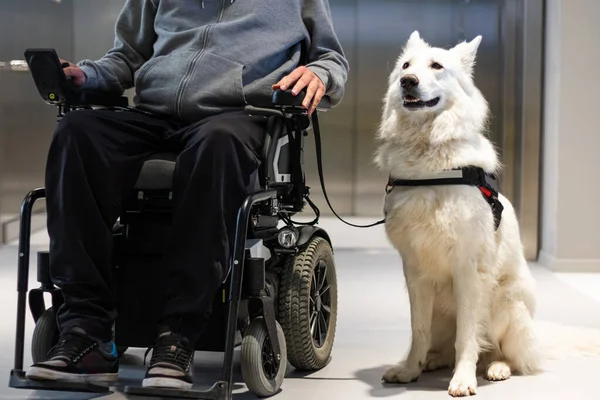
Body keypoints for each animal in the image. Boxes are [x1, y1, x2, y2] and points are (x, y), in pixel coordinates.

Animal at [376, 32, 600, 396]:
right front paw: (410, 370)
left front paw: (463, 379)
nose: (407, 81)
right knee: (441, 344)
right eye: (406, 66)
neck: (430, 165)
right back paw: (432, 361)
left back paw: (496, 367)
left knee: (506, 353)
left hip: (506, 303)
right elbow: (418, 331)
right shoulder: (415, 271)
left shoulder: (470, 271)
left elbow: (468, 336)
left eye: (436, 66)